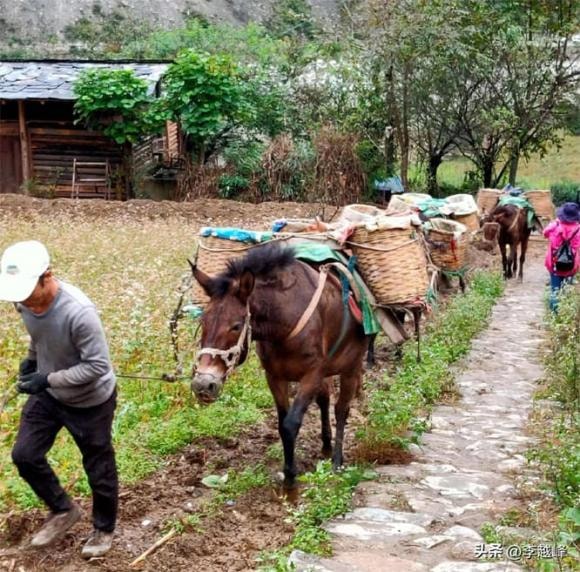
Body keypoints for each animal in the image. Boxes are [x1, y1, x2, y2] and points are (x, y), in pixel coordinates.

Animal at [188, 242, 364, 488]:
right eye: (203, 321)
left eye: (236, 326)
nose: (203, 384)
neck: (286, 321)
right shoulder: (274, 376)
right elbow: (282, 424)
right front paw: (289, 471)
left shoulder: (312, 375)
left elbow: (291, 424)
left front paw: (290, 478)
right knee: (325, 399)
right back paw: (326, 446)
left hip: (352, 367)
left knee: (341, 410)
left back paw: (337, 461)